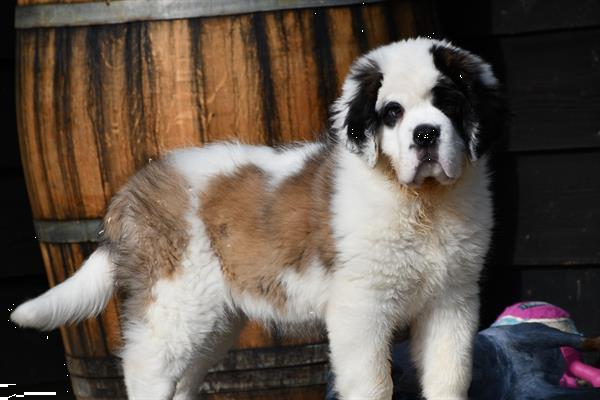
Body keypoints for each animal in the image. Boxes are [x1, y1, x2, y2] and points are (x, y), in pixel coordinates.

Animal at [11, 38, 504, 400]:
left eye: (449, 104)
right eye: (392, 113)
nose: (425, 135)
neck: (423, 203)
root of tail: (136, 187)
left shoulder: (452, 301)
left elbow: (449, 376)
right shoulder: (361, 310)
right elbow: (373, 383)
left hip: (213, 319)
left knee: (186, 376)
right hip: (175, 301)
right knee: (145, 367)